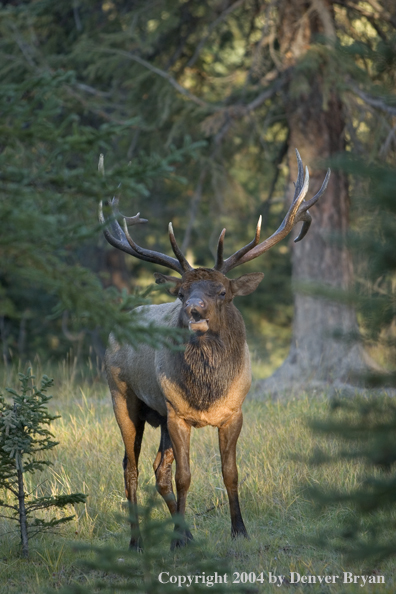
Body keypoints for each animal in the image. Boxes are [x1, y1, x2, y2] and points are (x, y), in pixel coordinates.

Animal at [100, 150, 332, 548]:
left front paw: (239, 530)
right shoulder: (178, 415)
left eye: (222, 291)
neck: (208, 391)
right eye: (181, 293)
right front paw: (178, 540)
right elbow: (185, 476)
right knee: (130, 468)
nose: (194, 310)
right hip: (123, 398)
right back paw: (138, 541)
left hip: (157, 413)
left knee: (157, 469)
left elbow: (230, 472)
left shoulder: (234, 412)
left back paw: (186, 531)